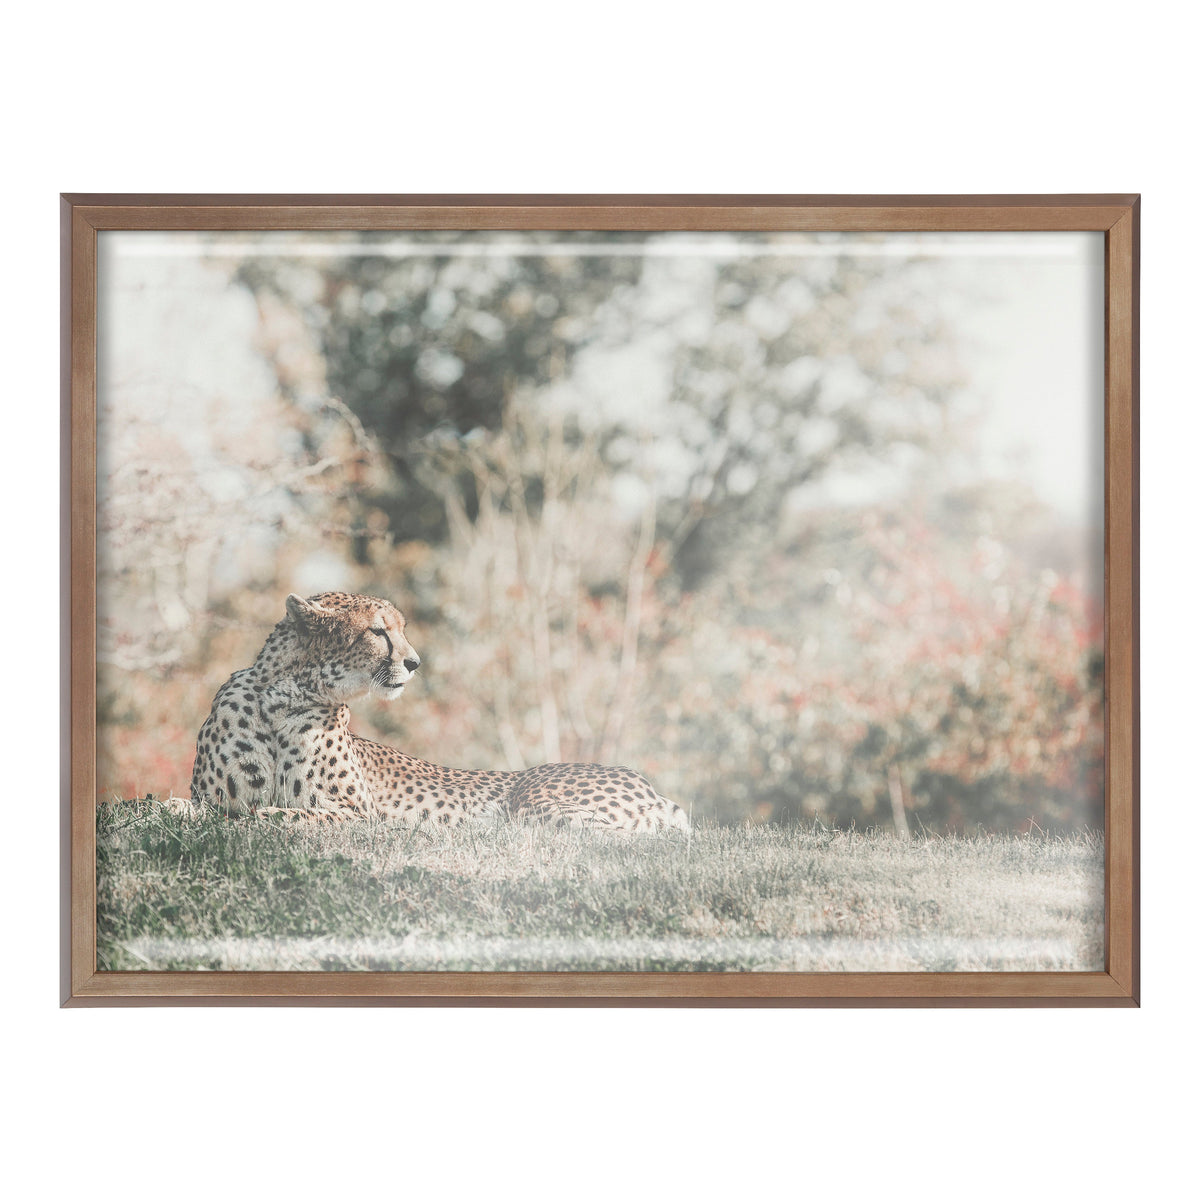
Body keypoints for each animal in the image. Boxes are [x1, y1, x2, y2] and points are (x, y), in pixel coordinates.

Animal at [189, 591, 690, 833]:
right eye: (378, 631)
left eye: (401, 630)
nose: (414, 663)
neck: (283, 697)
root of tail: (650, 786)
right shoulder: (210, 797)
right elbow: (211, 810)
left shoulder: (358, 816)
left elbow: (272, 815)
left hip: (536, 803)